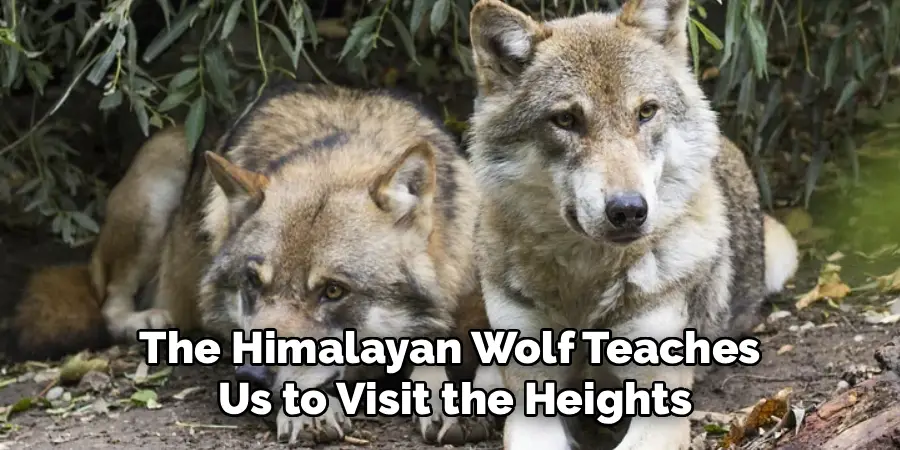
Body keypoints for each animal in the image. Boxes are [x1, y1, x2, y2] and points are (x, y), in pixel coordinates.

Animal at [6, 82, 498, 446]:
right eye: (252, 283)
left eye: (333, 290)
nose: (251, 377)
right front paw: (308, 413)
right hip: (159, 178)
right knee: (109, 304)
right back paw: (153, 321)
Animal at [466, 0, 800, 449]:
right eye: (566, 120)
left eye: (646, 112)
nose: (628, 209)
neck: (585, 283)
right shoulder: (532, 401)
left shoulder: (660, 409)